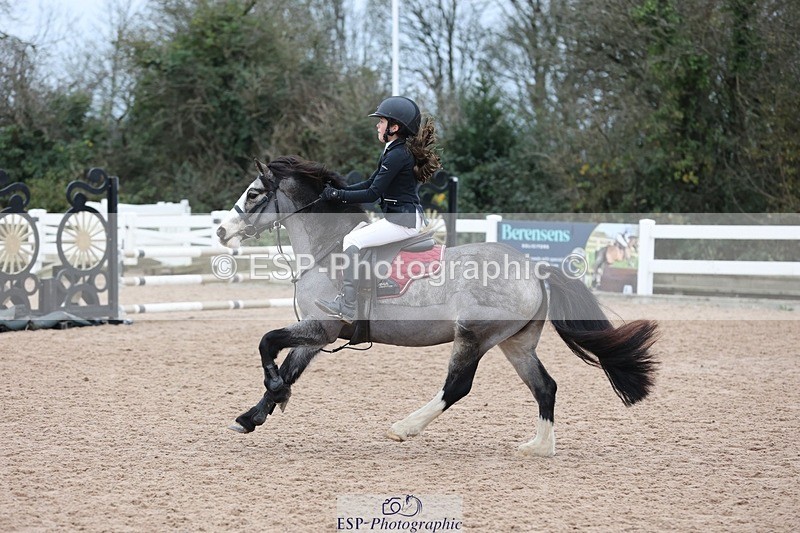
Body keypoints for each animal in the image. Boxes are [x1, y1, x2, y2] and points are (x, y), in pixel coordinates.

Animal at [216, 156, 659, 457]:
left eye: (253, 193)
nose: (221, 230)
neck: (328, 251)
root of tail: (533, 269)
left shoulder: (321, 326)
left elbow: (267, 342)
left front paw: (274, 395)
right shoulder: (318, 334)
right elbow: (288, 364)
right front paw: (251, 416)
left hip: (473, 337)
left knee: (457, 386)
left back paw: (404, 427)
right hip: (515, 343)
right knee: (544, 387)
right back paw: (539, 446)